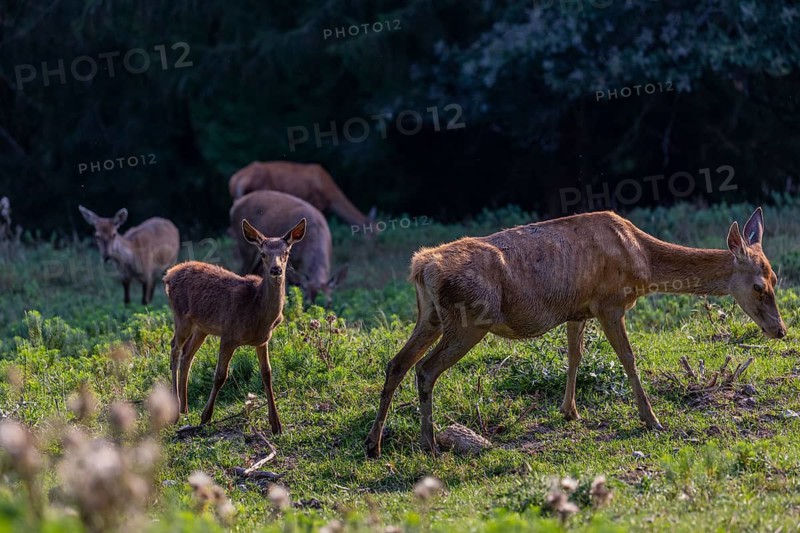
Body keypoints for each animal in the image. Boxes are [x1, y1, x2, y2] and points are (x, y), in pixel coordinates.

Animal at [163, 218, 306, 432]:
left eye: (286, 252)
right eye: (263, 254)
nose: (276, 270)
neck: (258, 312)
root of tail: (169, 274)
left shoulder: (262, 340)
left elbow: (267, 374)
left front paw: (276, 424)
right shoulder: (228, 335)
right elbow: (220, 375)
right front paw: (206, 417)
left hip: (201, 327)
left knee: (187, 355)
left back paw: (184, 407)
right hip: (181, 316)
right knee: (175, 348)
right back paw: (175, 412)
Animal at [365, 208, 788, 457]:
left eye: (776, 279)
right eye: (759, 286)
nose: (780, 330)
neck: (644, 262)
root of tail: (422, 267)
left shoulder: (577, 309)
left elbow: (575, 356)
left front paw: (569, 411)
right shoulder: (609, 302)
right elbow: (628, 359)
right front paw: (651, 420)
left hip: (430, 316)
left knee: (397, 363)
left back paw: (374, 443)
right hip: (469, 320)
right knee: (425, 369)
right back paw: (428, 443)